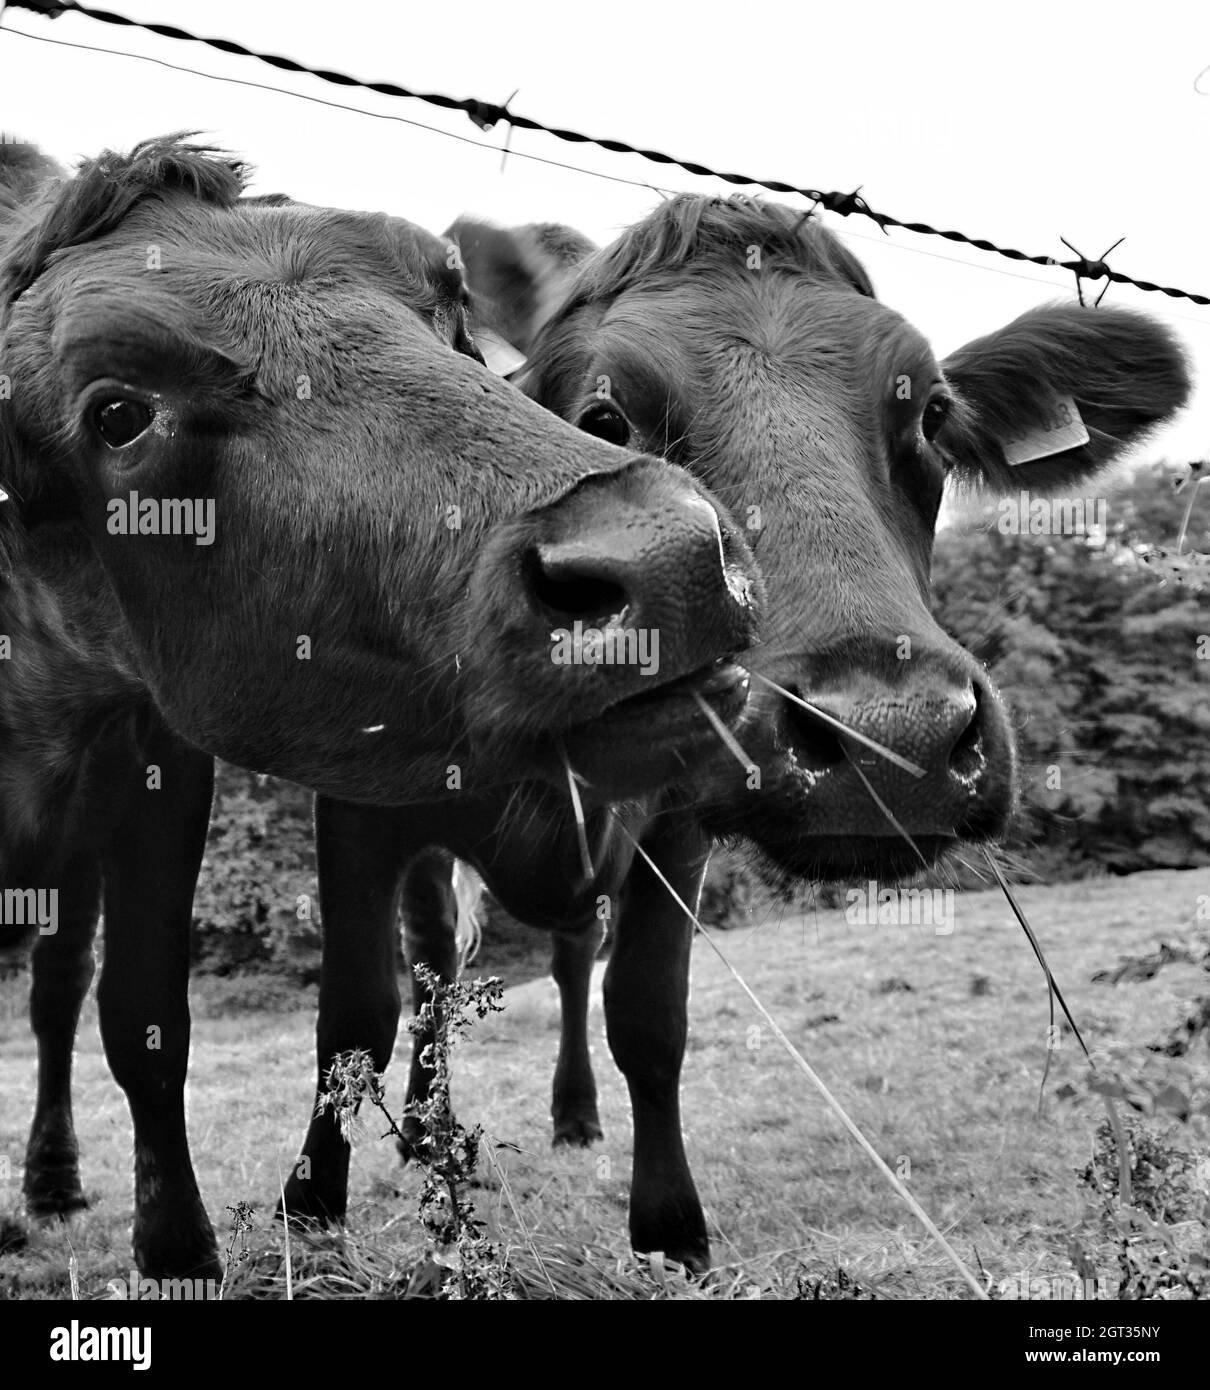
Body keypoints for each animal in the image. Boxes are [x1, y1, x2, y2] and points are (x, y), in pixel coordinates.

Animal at [0, 141, 762, 1280]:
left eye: (447, 306)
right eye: (119, 413)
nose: (670, 555)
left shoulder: (158, 777)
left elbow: (145, 1016)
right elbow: (331, 1010)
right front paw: (283, 1212)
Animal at [289, 196, 1189, 1274]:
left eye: (931, 415)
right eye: (604, 417)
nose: (894, 738)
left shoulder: (675, 822)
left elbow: (647, 1017)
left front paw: (670, 1227)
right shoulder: (353, 804)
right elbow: (355, 1015)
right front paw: (311, 1212)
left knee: (568, 958)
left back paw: (573, 1115)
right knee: (431, 964)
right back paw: (424, 1126)